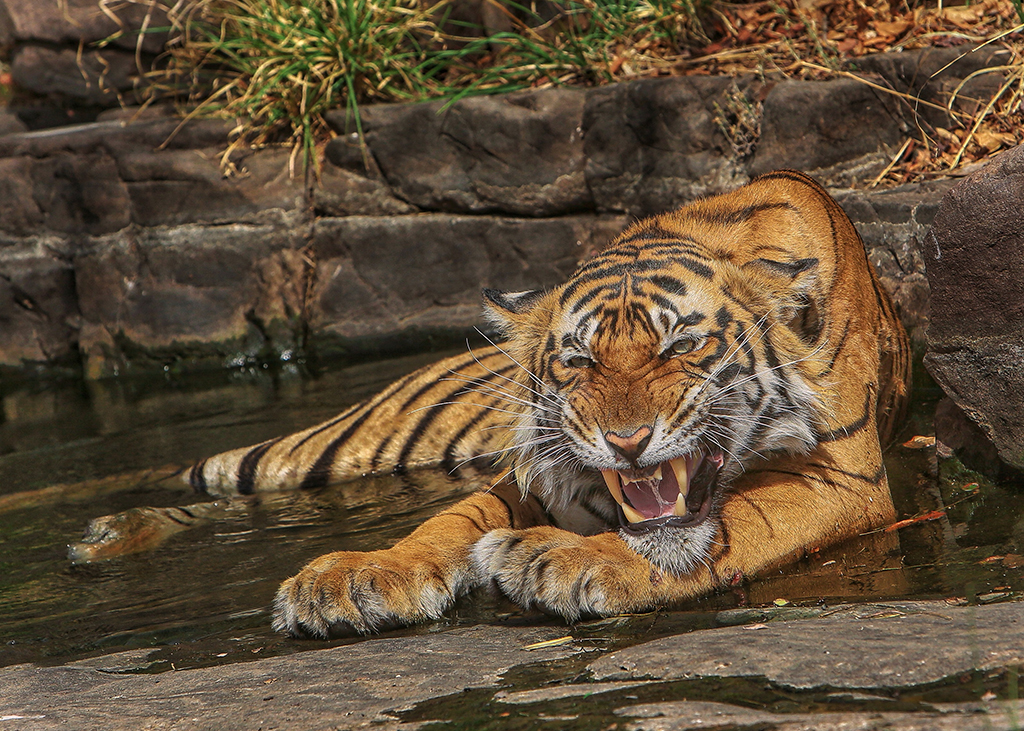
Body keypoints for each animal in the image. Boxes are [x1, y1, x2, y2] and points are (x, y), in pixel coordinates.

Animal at [78, 171, 911, 637]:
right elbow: (450, 520)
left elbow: (740, 520)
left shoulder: (844, 479)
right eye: (578, 361)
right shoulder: (527, 472)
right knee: (222, 472)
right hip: (345, 446)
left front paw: (566, 562)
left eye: (681, 346)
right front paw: (355, 577)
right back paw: (106, 535)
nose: (628, 440)